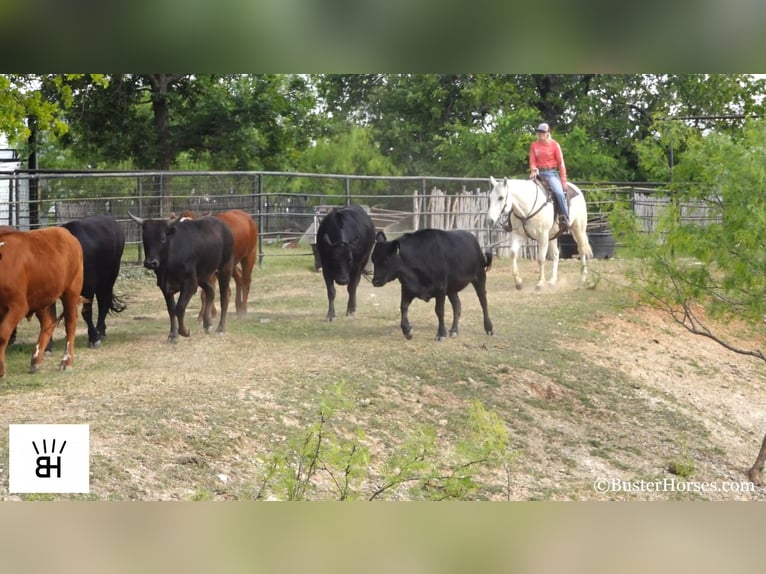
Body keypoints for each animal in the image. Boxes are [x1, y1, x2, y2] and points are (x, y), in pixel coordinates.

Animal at [0, 227, 84, 380]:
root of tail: (65, 232)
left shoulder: (18, 306)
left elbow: (2, 335)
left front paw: (1, 370)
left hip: (72, 290)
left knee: (70, 324)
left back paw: (66, 362)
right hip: (41, 297)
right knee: (48, 322)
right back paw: (35, 361)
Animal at [62, 215, 126, 348]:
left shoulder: (89, 286)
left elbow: (86, 312)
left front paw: (93, 338)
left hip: (109, 277)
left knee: (104, 302)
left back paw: (100, 331)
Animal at [127, 214, 234, 344]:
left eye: (162, 239)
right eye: (145, 239)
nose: (150, 263)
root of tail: (223, 225)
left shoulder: (190, 284)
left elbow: (179, 308)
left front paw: (184, 332)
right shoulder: (165, 287)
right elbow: (171, 310)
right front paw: (173, 335)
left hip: (224, 268)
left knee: (224, 296)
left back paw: (220, 329)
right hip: (202, 276)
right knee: (210, 291)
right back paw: (207, 324)